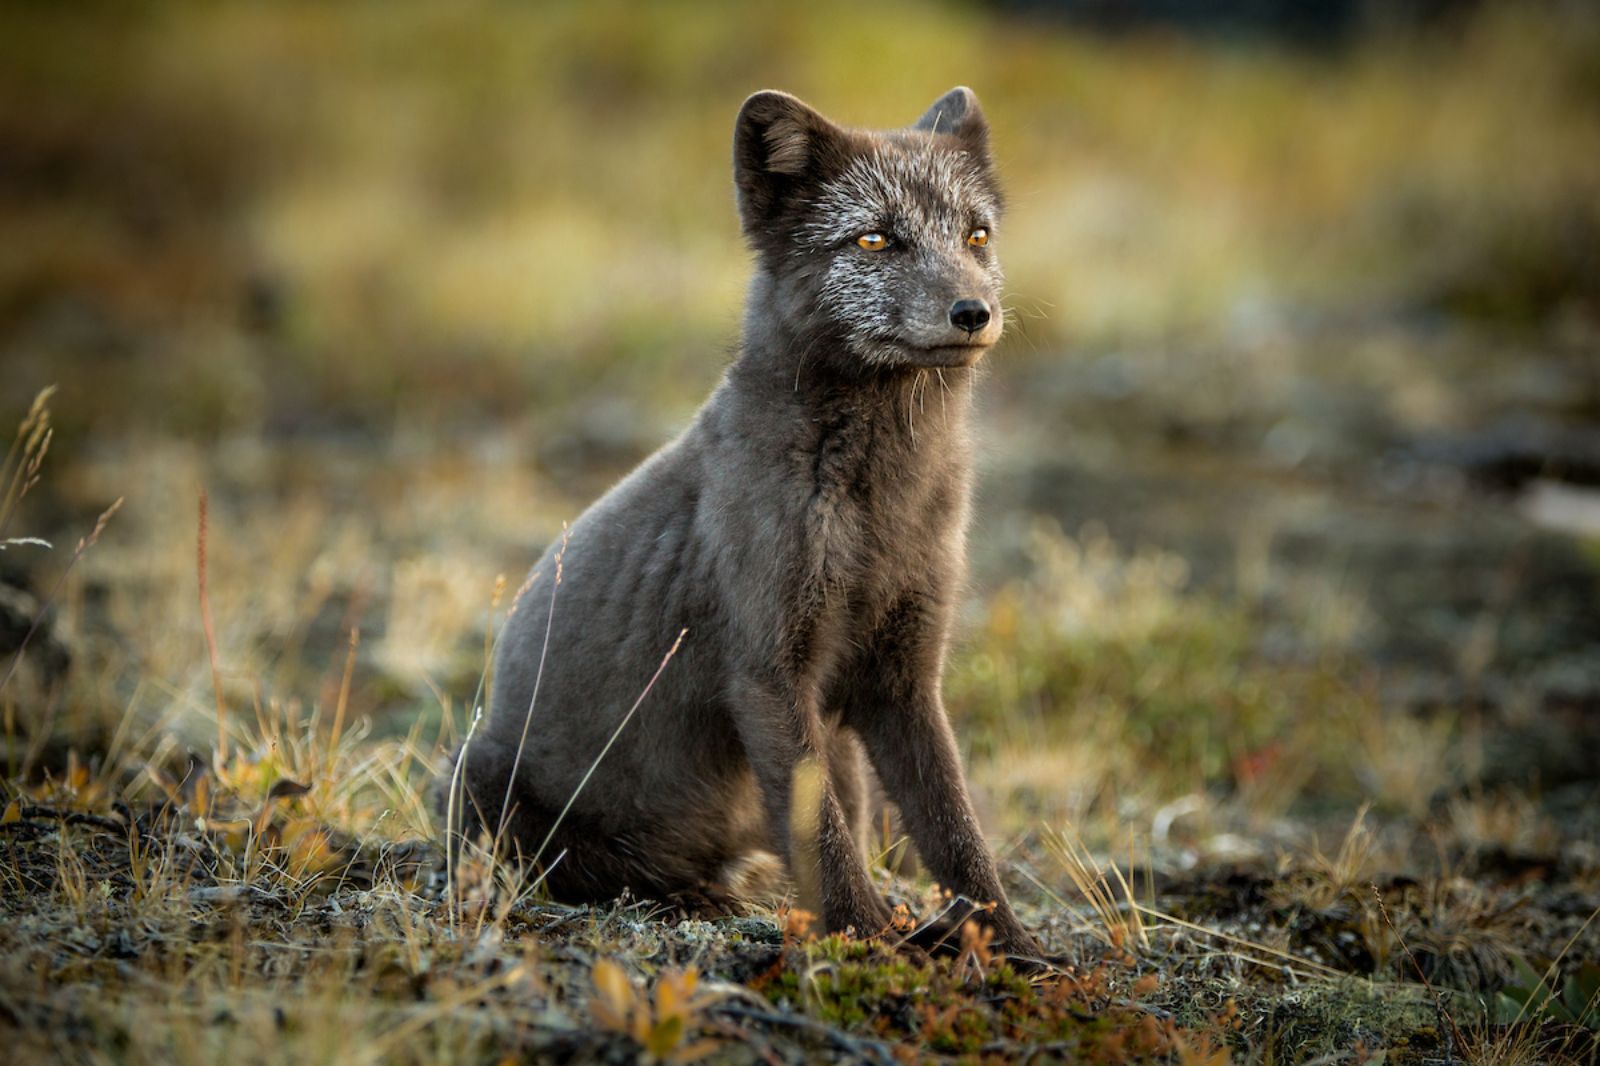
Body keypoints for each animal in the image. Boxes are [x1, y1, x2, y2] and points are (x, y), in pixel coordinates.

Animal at [447, 86, 1041, 959]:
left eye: (976, 236)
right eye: (875, 238)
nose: (976, 311)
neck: (880, 503)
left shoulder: (903, 678)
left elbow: (955, 831)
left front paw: (1018, 953)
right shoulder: (767, 673)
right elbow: (823, 836)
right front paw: (866, 945)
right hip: (477, 774)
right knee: (600, 873)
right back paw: (692, 898)